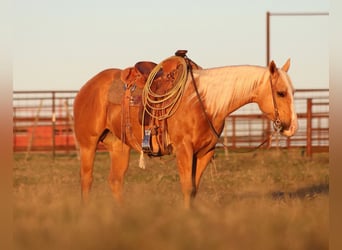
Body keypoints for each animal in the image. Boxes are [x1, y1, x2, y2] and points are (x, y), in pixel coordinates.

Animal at [73, 52, 298, 209]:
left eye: (293, 91)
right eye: (281, 92)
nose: (292, 127)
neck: (202, 102)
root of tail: (87, 87)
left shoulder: (205, 152)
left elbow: (194, 189)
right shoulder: (184, 150)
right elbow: (187, 187)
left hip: (119, 147)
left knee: (115, 181)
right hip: (88, 144)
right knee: (86, 180)